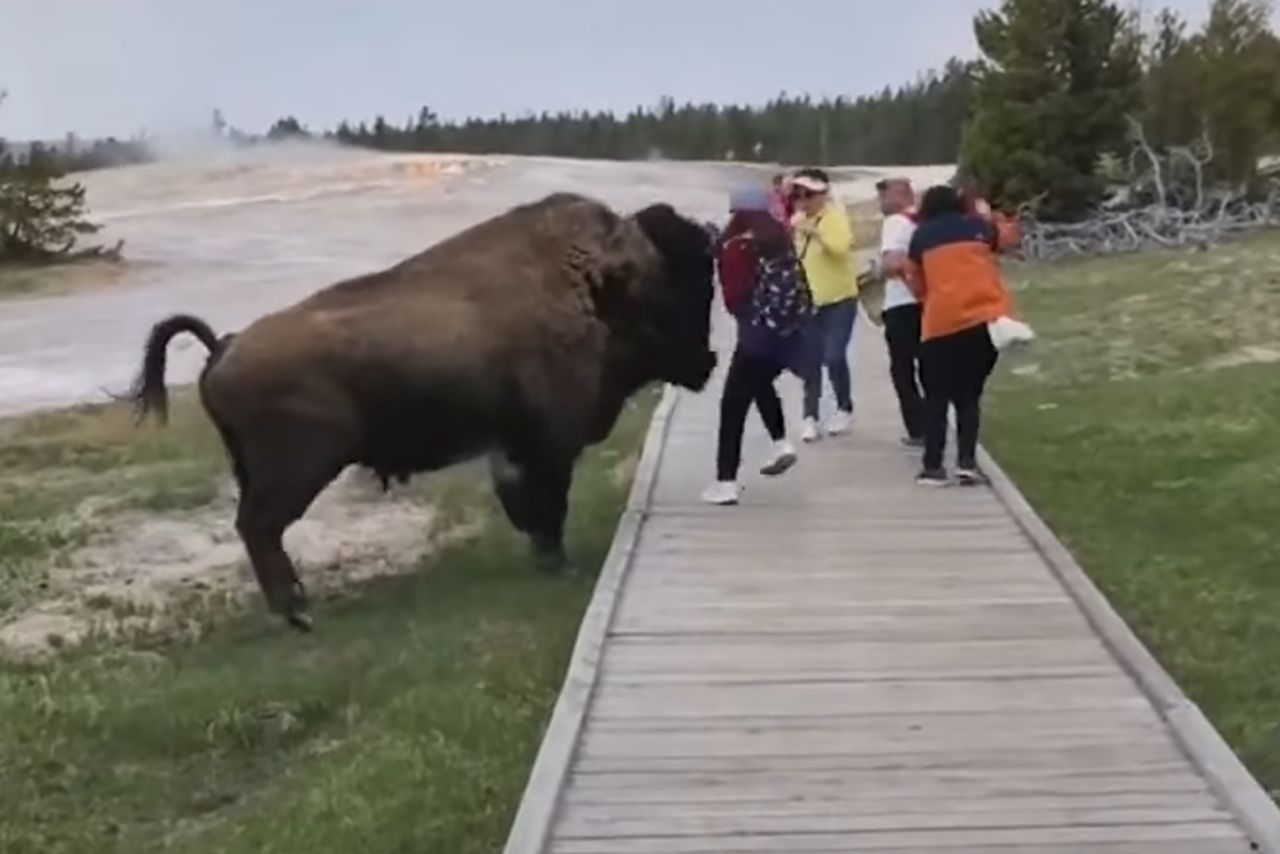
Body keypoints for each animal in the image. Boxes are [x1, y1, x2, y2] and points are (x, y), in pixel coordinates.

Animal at [129, 197, 721, 632]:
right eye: (682, 286)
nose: (710, 361)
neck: (597, 287)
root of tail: (224, 346)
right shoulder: (547, 445)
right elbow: (547, 505)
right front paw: (560, 564)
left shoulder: (512, 446)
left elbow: (528, 507)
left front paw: (544, 558)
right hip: (298, 468)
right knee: (259, 526)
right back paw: (299, 612)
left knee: (257, 530)